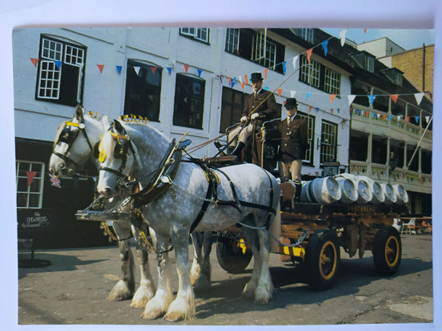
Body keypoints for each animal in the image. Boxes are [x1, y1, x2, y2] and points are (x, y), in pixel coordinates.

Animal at [97, 118, 280, 322]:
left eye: (118, 150)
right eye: (99, 150)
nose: (103, 190)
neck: (168, 177)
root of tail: (269, 174)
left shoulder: (180, 229)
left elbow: (182, 265)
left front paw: (180, 306)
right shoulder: (158, 231)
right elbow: (162, 264)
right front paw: (158, 304)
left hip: (262, 221)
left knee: (264, 252)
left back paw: (262, 291)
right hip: (247, 222)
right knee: (256, 252)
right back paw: (251, 288)